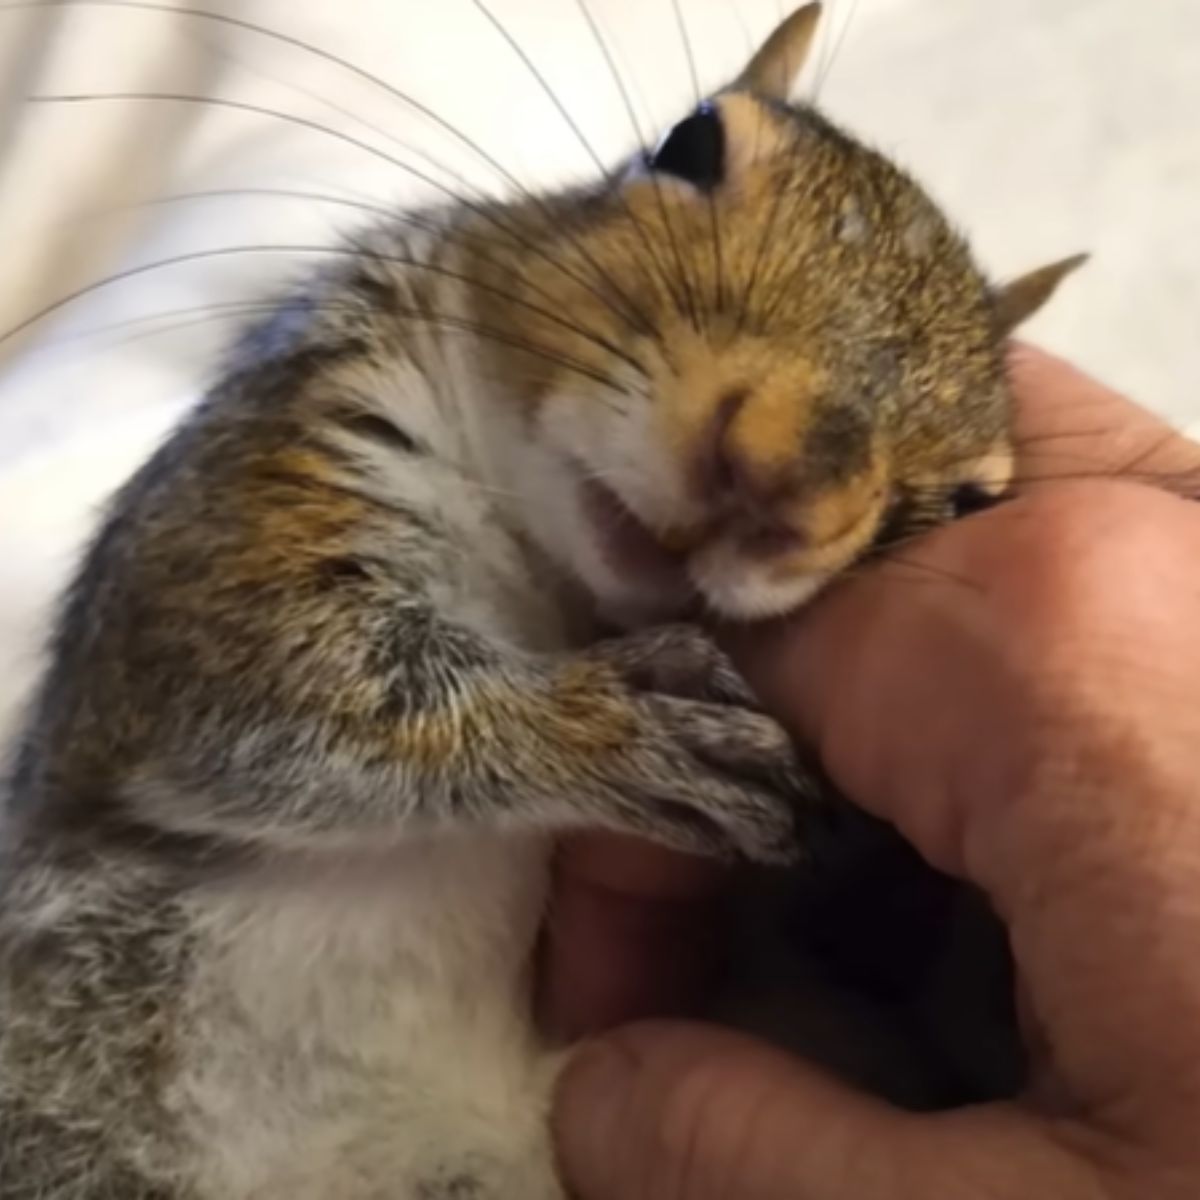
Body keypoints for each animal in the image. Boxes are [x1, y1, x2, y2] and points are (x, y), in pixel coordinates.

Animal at [0, 4, 1084, 1195]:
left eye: (973, 504)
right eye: (690, 144)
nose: (779, 476)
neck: (552, 582)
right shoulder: (261, 477)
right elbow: (268, 668)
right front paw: (613, 725)